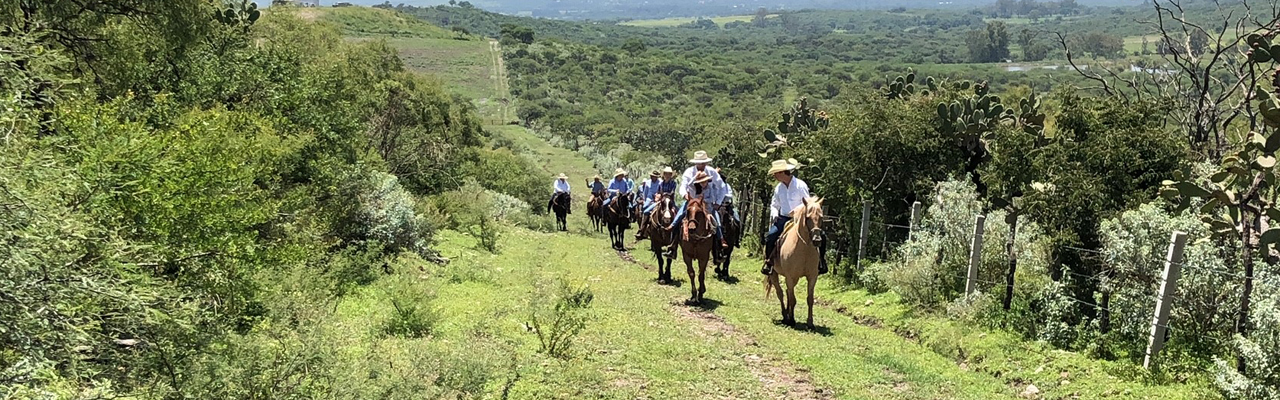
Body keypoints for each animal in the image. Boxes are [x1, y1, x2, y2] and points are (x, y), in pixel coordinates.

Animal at [762, 197, 824, 328]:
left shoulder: (812, 277)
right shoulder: (790, 277)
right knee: (780, 293)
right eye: (807, 217)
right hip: (774, 274)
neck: (804, 249)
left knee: (787, 292)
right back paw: (786, 316)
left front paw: (810, 322)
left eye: (821, 217)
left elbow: (809, 299)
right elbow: (793, 299)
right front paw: (791, 320)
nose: (817, 240)